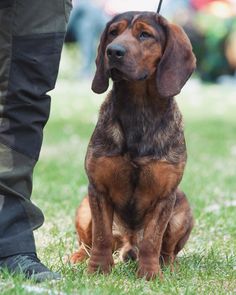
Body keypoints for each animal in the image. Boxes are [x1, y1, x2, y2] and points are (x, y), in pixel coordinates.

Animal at [70, 10, 195, 280]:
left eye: (145, 34)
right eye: (113, 33)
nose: (113, 51)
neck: (139, 109)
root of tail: (129, 244)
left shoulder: (164, 196)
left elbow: (152, 241)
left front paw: (150, 274)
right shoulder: (98, 189)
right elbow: (102, 237)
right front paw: (98, 270)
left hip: (182, 209)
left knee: (167, 250)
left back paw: (168, 266)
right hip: (84, 208)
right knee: (87, 243)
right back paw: (79, 257)